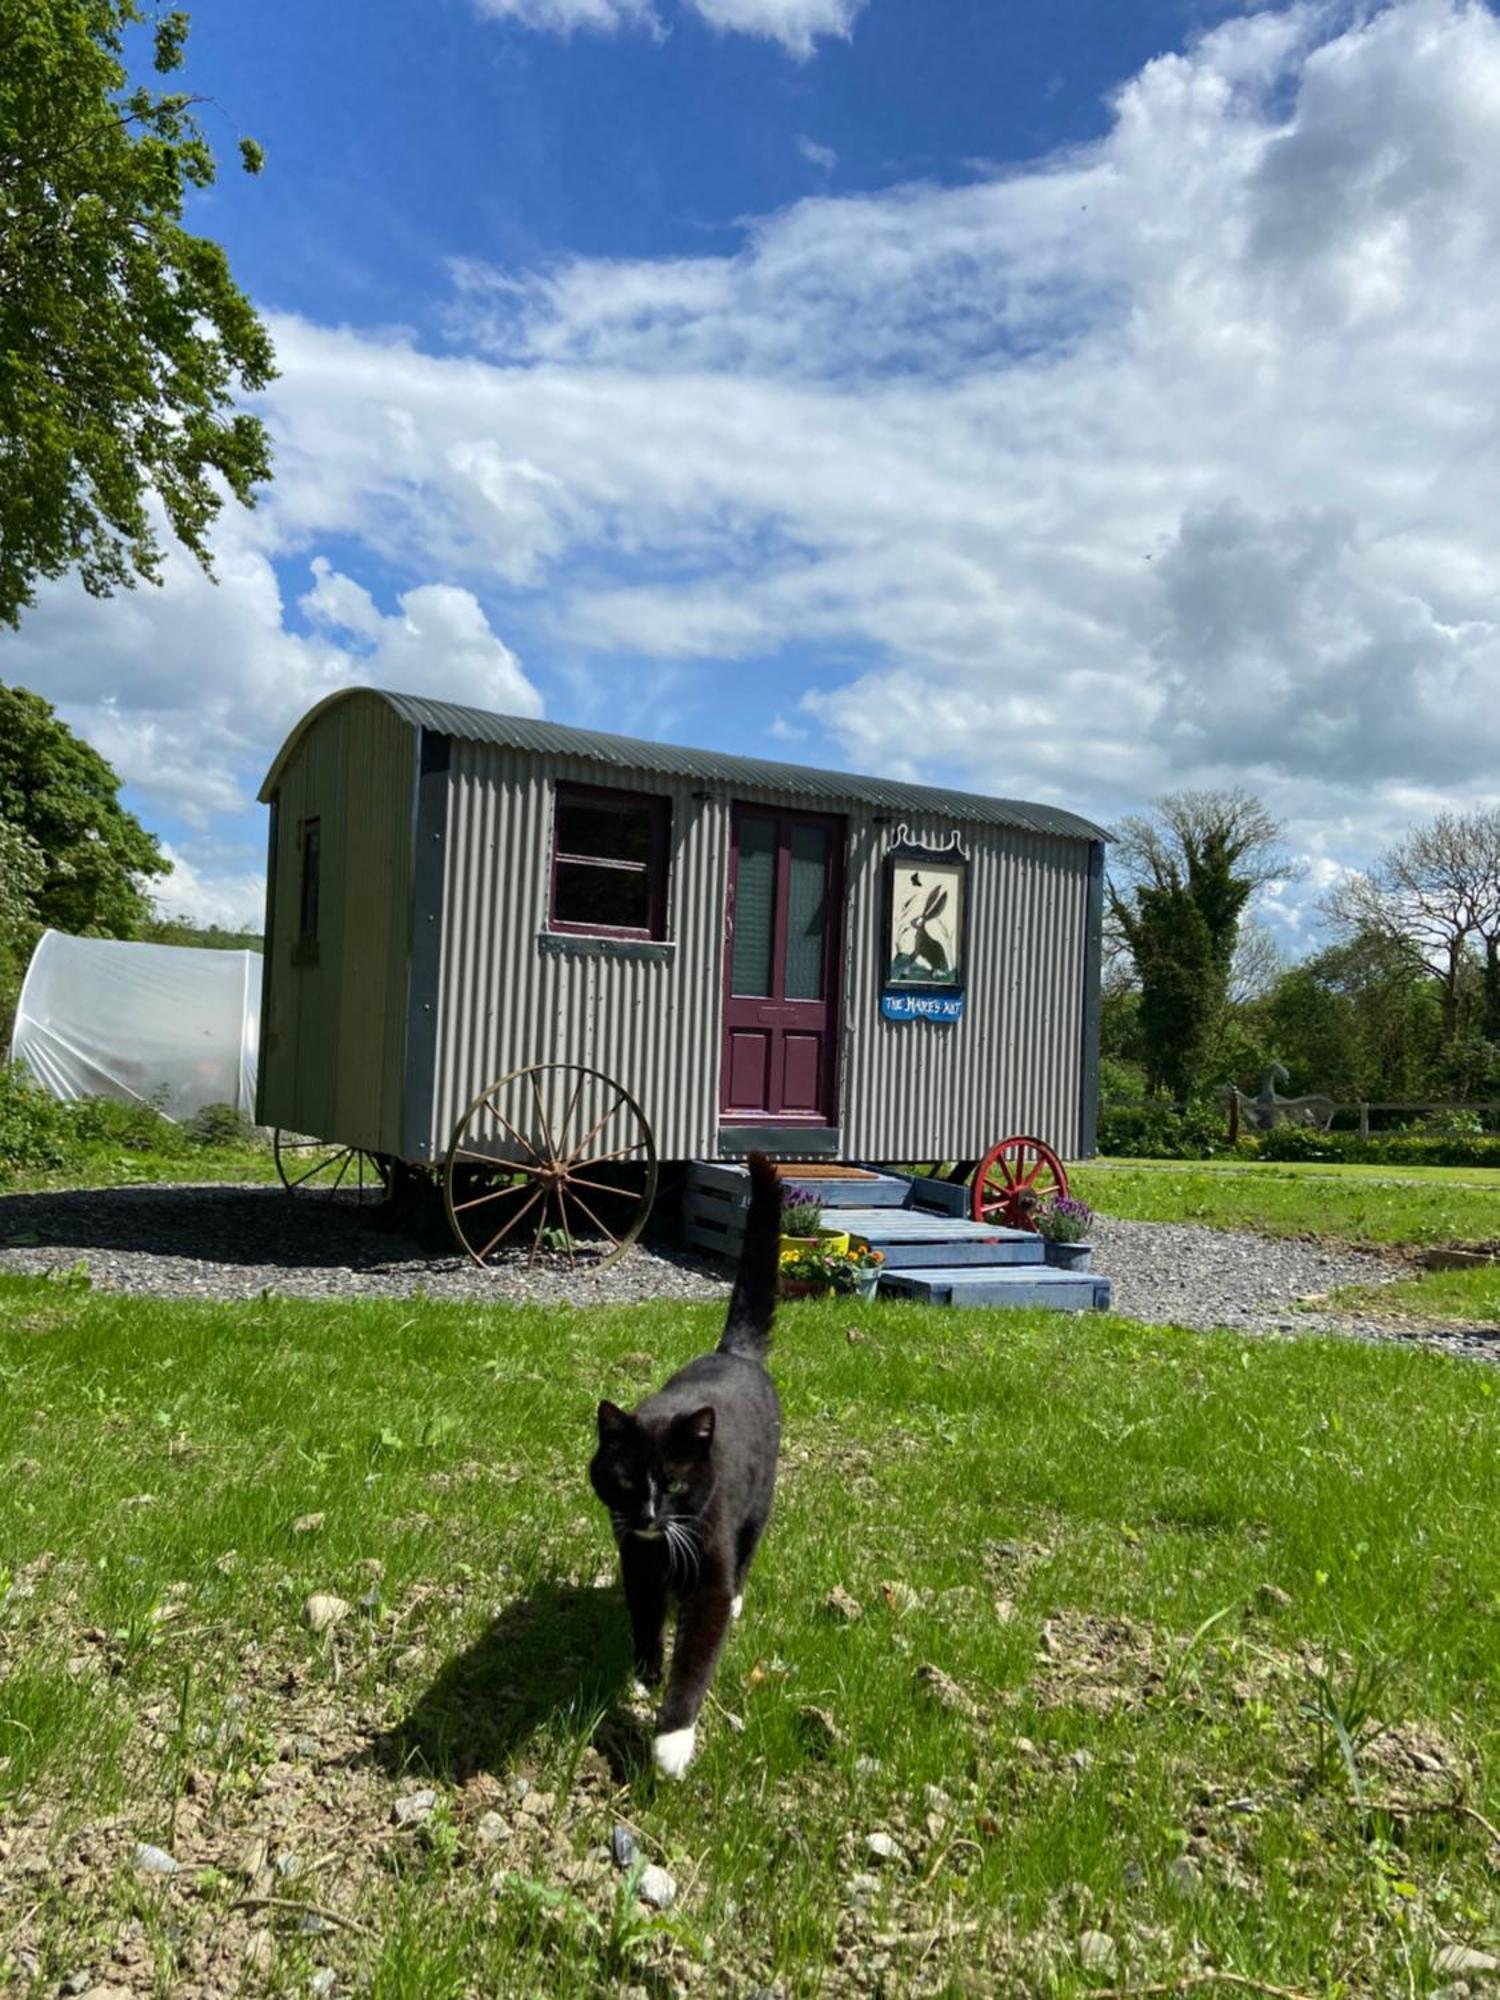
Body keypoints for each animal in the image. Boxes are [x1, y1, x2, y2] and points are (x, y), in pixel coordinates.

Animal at [592, 1152, 788, 1776]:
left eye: (675, 1484)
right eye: (625, 1480)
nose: (649, 1517)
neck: (663, 1546)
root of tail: (734, 1354)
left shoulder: (708, 1553)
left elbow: (700, 1647)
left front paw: (672, 1738)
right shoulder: (633, 1556)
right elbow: (644, 1611)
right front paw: (644, 1671)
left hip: (760, 1498)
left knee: (749, 1549)